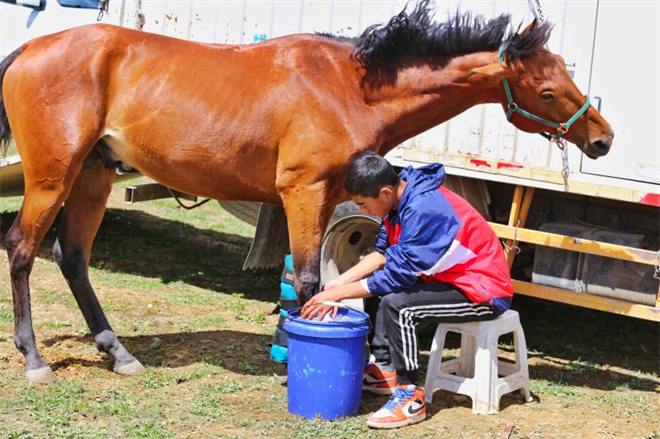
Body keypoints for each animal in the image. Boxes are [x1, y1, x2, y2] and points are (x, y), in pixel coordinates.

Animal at [0, 1, 612, 384]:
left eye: (565, 73)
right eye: (547, 90)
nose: (602, 138)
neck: (349, 86)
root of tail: (29, 49)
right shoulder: (305, 193)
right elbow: (311, 279)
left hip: (93, 177)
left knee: (73, 257)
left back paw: (118, 352)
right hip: (53, 177)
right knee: (23, 249)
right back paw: (33, 359)